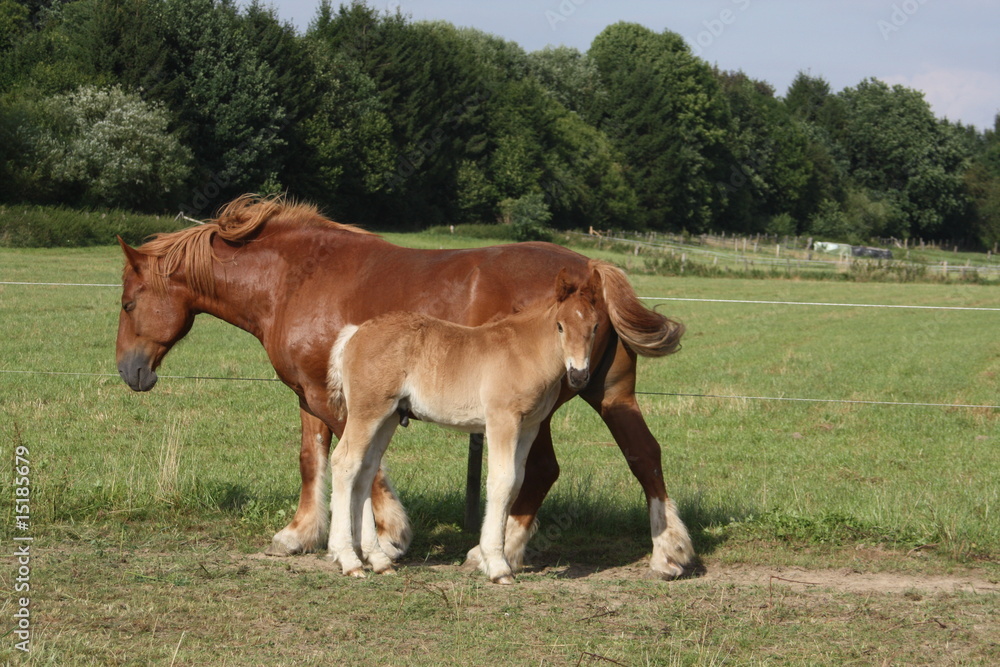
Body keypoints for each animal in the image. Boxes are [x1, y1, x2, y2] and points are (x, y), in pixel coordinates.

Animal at [326, 266, 600, 584]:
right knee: (345, 462)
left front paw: (491, 559)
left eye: (595, 327)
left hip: (388, 416)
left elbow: (517, 481)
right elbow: (502, 480)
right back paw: (348, 559)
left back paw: (378, 559)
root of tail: (355, 333)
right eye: (560, 326)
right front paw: (497, 566)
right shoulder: (502, 420)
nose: (578, 375)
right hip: (367, 411)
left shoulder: (530, 426)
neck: (525, 352)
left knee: (366, 470)